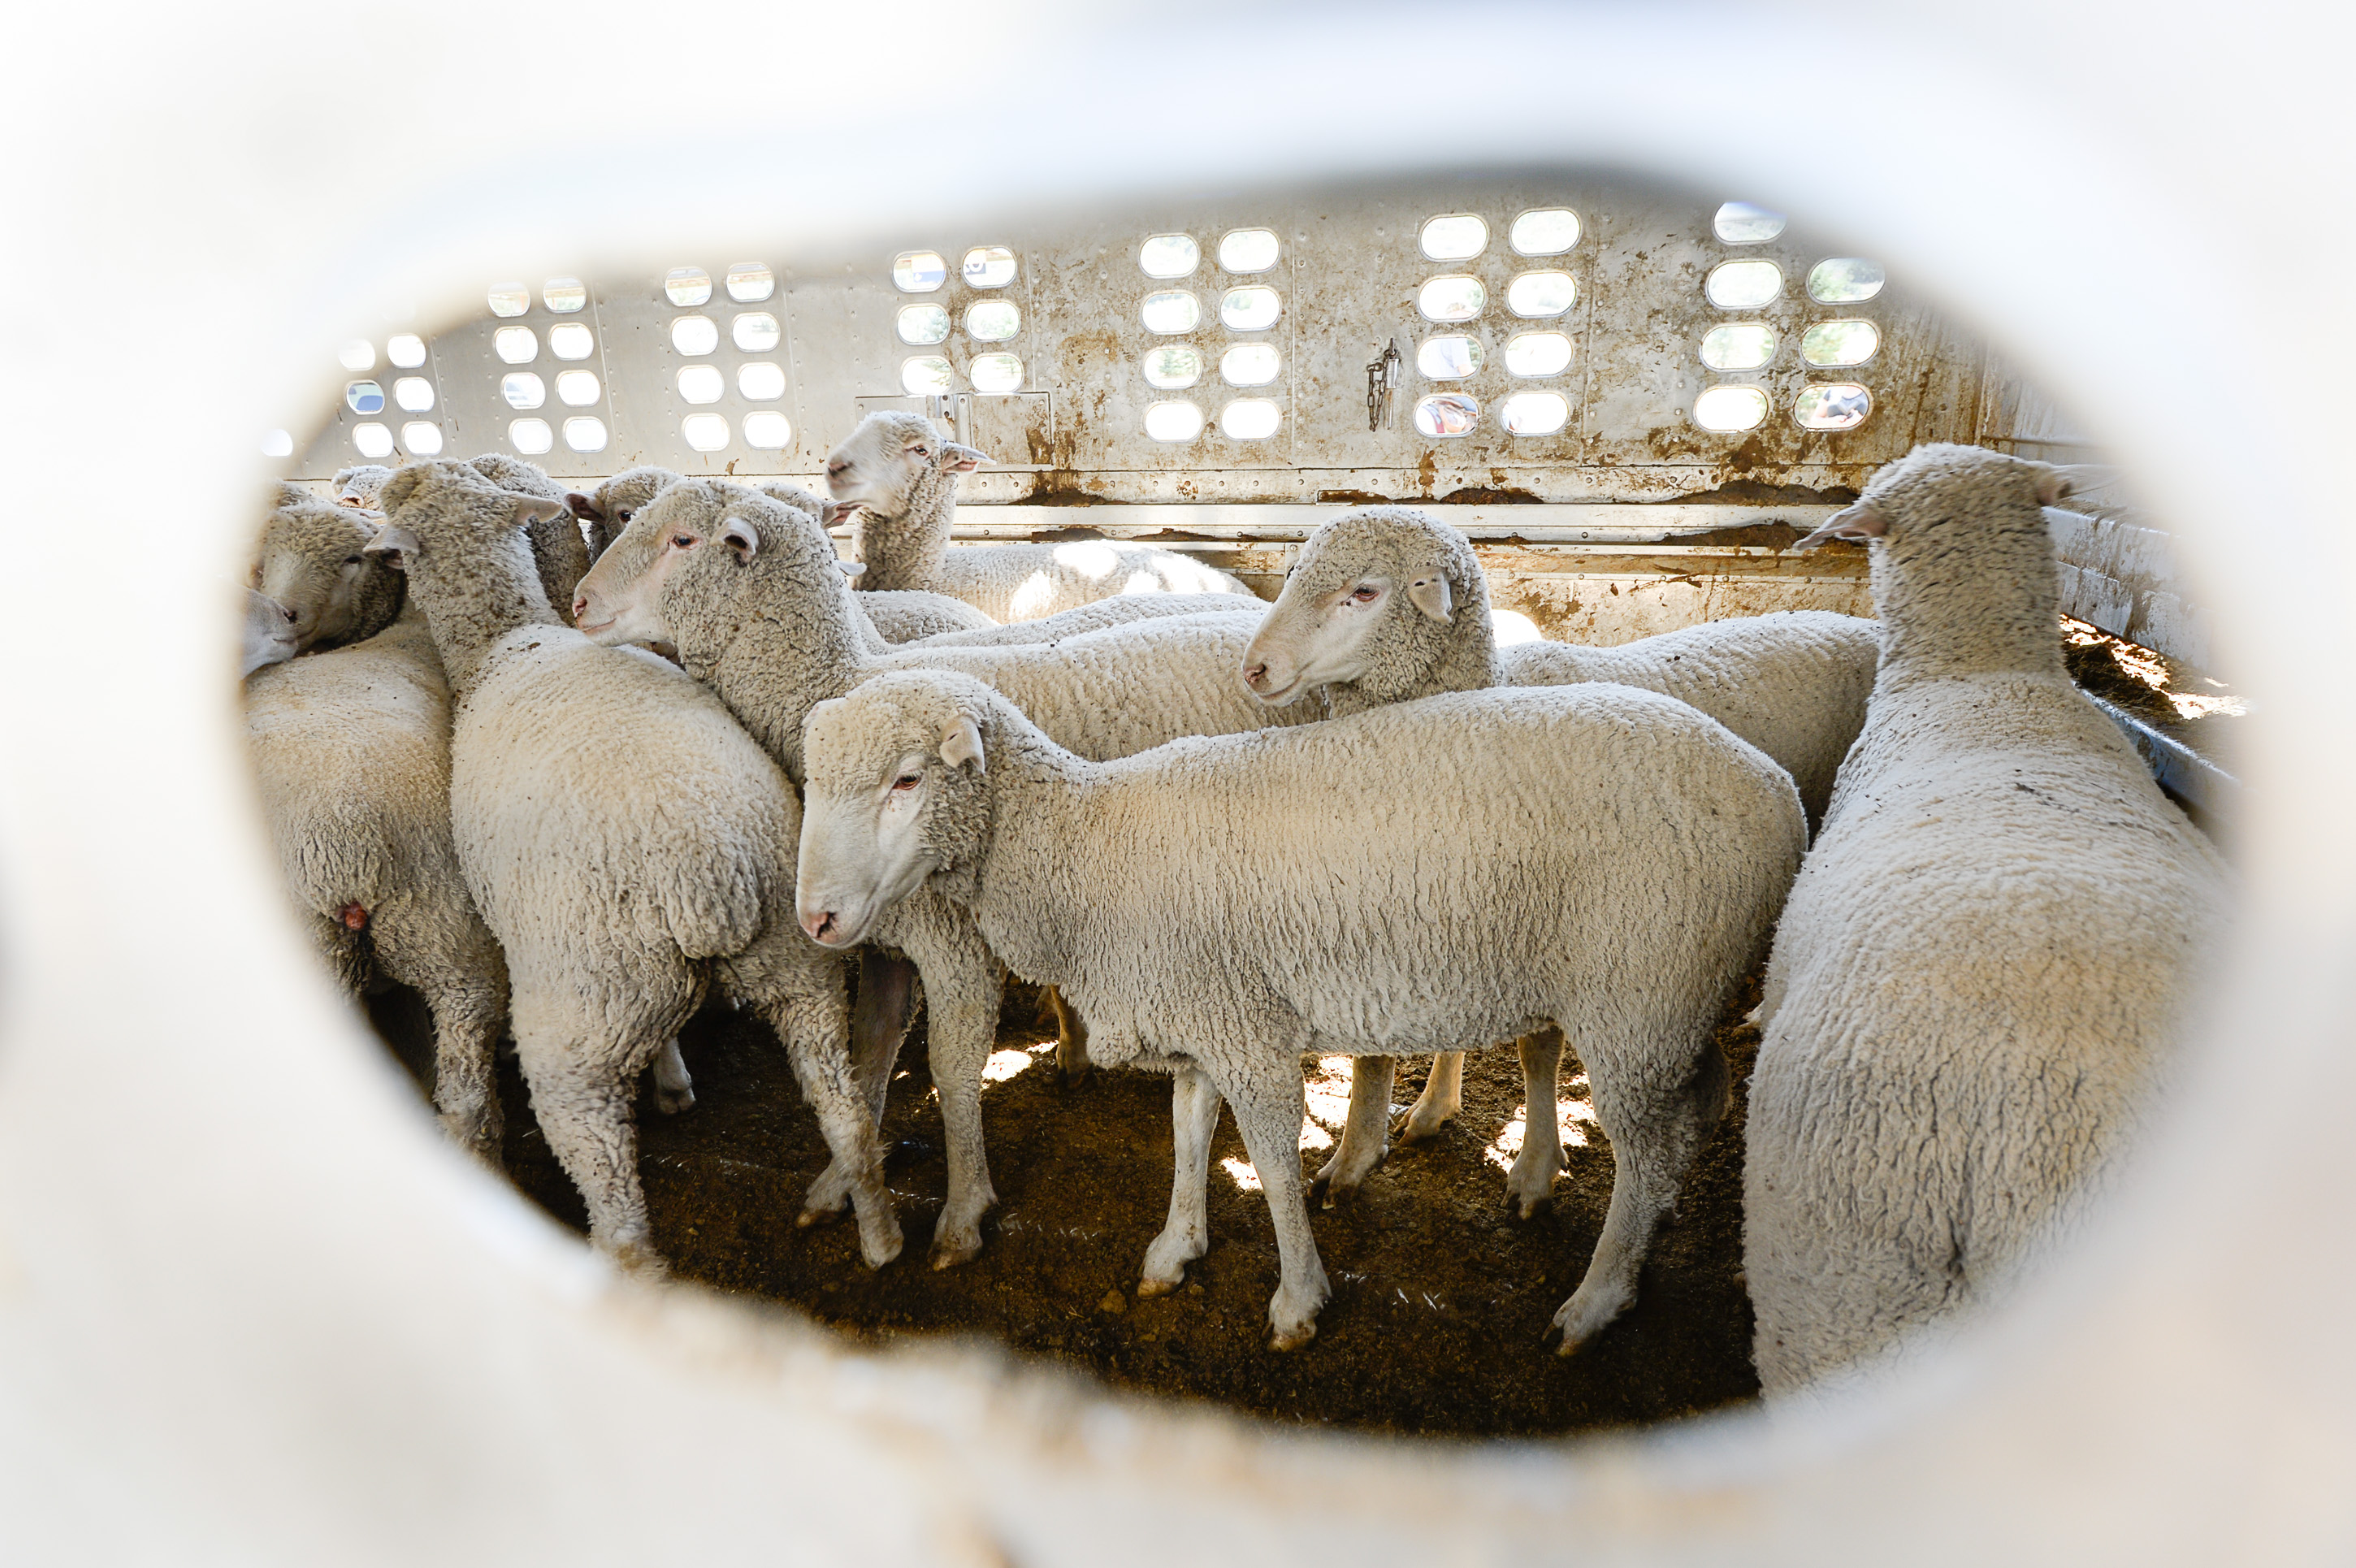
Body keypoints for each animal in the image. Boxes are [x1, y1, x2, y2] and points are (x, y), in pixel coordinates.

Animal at [366, 460, 896, 1274]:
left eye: (679, 540)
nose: (582, 602)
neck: (508, 639)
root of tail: (709, 876)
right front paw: (675, 1082)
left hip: (582, 1015)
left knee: (615, 1212)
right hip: (797, 966)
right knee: (847, 1116)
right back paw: (878, 1238)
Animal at [568, 480, 1308, 1262]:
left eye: (681, 541)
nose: (579, 603)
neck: (844, 676)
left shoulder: (958, 943)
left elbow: (953, 1073)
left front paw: (963, 1212)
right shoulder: (886, 940)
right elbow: (868, 1059)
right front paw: (840, 1182)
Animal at [793, 668, 1806, 1351]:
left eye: (907, 779)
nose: (815, 920)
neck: (1083, 852)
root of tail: (1780, 794)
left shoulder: (1248, 1033)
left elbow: (1274, 1166)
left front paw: (1296, 1300)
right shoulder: (1205, 1016)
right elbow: (1187, 1136)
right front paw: (1174, 1250)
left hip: (1635, 992)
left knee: (1644, 1150)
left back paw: (1596, 1299)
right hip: (1674, 1001)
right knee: (1696, 1107)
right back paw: (1642, 1239)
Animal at [1241, 505, 1881, 1202]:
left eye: (1364, 591)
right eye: (1292, 574)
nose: (1255, 669)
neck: (1488, 683)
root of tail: (1859, 622)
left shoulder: (1537, 923)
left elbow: (1536, 1053)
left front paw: (1532, 1165)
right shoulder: (1442, 891)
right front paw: (1416, 1115)